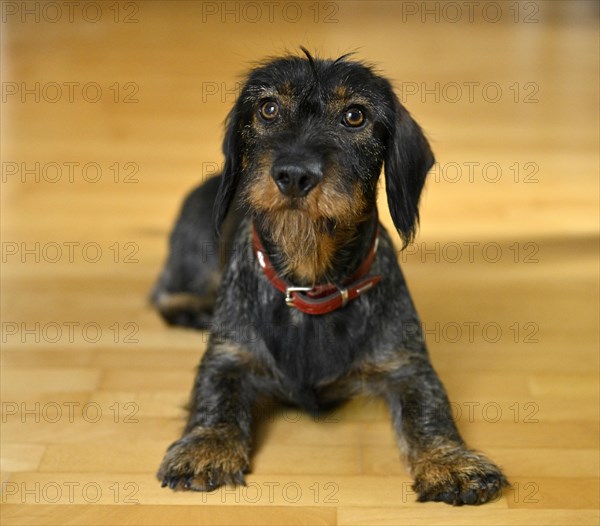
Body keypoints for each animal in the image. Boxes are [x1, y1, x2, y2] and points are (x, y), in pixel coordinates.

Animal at [152, 50, 508, 508]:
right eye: (268, 108)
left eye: (355, 115)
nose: (293, 175)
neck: (310, 283)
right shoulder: (227, 356)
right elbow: (214, 395)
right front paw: (206, 446)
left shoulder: (407, 365)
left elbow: (429, 410)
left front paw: (451, 462)